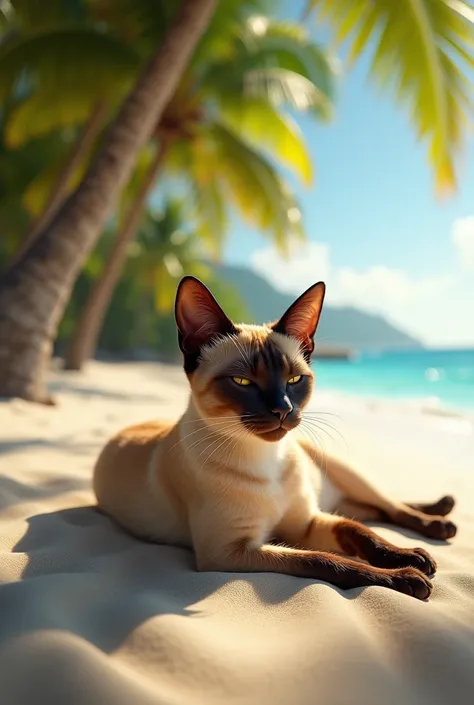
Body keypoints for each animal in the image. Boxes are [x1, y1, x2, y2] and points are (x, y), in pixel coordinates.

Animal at [93, 276, 456, 600]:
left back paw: (438, 522)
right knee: (368, 511)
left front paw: (409, 560)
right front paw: (407, 579)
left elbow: (361, 535)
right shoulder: (232, 551)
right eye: (242, 382)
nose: (283, 409)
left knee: (387, 506)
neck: (266, 459)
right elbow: (327, 561)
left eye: (295, 380)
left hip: (348, 474)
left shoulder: (305, 522)